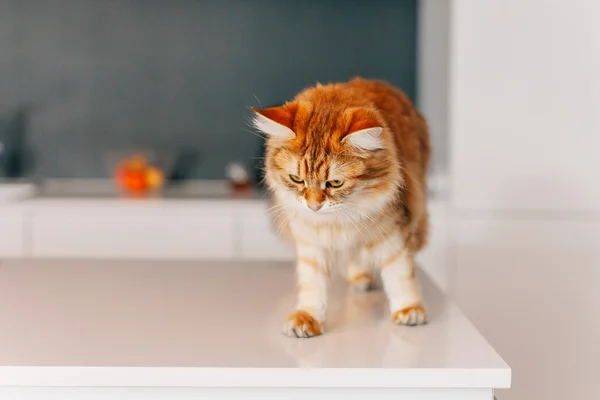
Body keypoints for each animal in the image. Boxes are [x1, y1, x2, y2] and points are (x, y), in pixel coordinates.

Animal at [251, 77, 428, 338]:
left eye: (335, 183)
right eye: (297, 179)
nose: (314, 205)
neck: (338, 220)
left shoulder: (393, 231)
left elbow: (401, 275)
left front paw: (409, 310)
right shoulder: (310, 240)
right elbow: (312, 284)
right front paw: (307, 318)